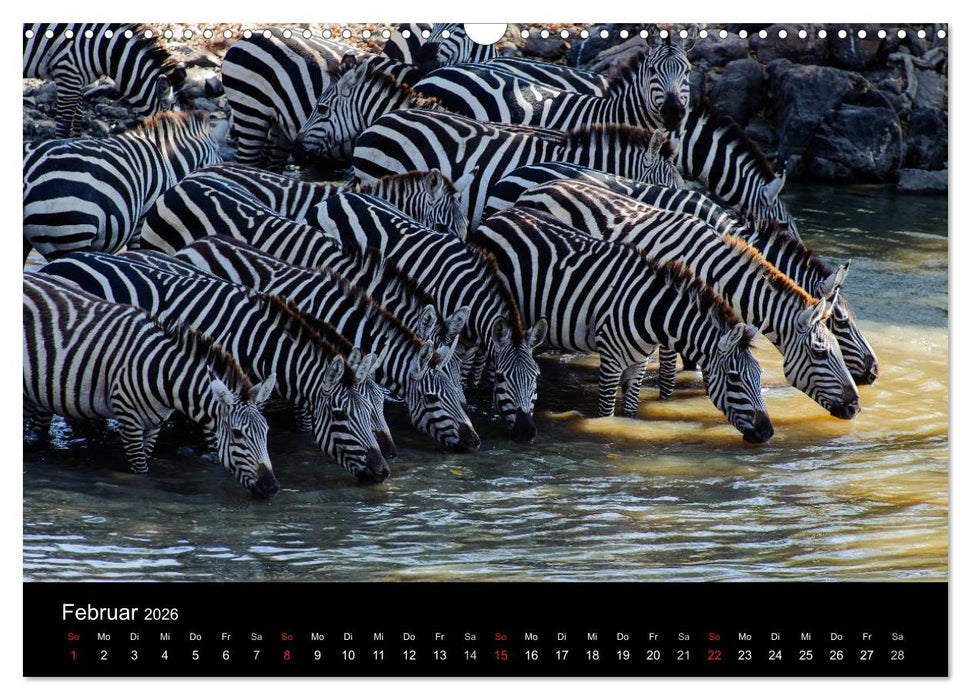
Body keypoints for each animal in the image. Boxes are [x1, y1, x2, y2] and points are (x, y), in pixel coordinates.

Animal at [24, 273, 278, 496]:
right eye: (237, 434)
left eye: (266, 431)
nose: (271, 488)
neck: (164, 374)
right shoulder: (129, 420)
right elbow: (141, 473)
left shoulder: (154, 425)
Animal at [471, 207, 773, 443]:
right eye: (734, 378)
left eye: (759, 375)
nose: (768, 432)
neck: (651, 313)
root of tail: (497, 216)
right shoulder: (610, 361)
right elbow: (606, 414)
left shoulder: (639, 363)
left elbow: (630, 413)